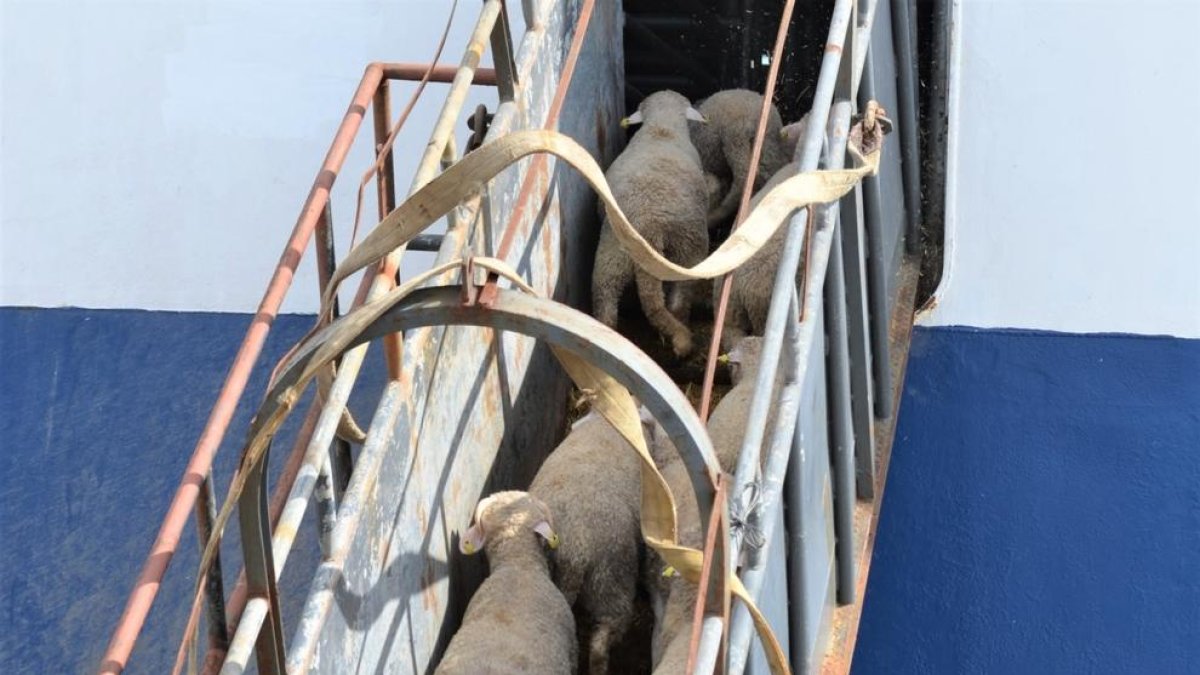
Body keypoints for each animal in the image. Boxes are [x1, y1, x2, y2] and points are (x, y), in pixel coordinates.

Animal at [592, 89, 710, 357]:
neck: (661, 129)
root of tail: (650, 227)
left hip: (611, 255)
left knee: (605, 303)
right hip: (688, 251)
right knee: (679, 300)